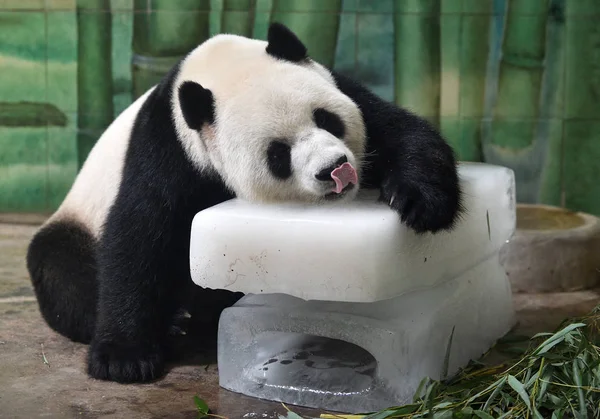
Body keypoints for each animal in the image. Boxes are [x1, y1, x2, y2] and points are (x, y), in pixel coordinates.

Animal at [25, 22, 462, 384]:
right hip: (76, 218)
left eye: (326, 119)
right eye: (278, 154)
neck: (217, 69)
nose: (335, 169)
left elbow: (398, 129)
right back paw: (176, 321)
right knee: (61, 269)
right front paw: (124, 357)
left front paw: (420, 201)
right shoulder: (169, 146)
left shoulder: (341, 86)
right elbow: (140, 232)